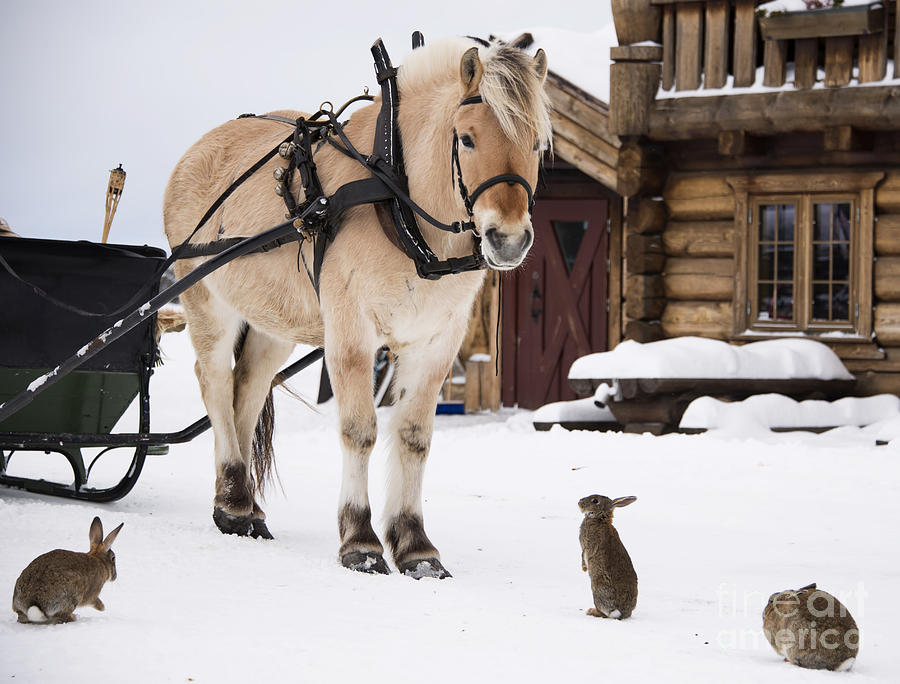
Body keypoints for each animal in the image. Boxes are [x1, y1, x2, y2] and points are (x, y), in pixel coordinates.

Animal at [162, 36, 551, 578]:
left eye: (537, 143)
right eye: (467, 138)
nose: (508, 240)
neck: (398, 201)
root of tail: (195, 151)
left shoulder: (436, 341)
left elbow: (413, 436)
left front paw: (416, 546)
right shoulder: (351, 333)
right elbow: (359, 430)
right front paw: (361, 541)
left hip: (274, 321)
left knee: (250, 388)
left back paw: (244, 505)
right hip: (206, 299)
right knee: (215, 381)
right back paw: (235, 505)